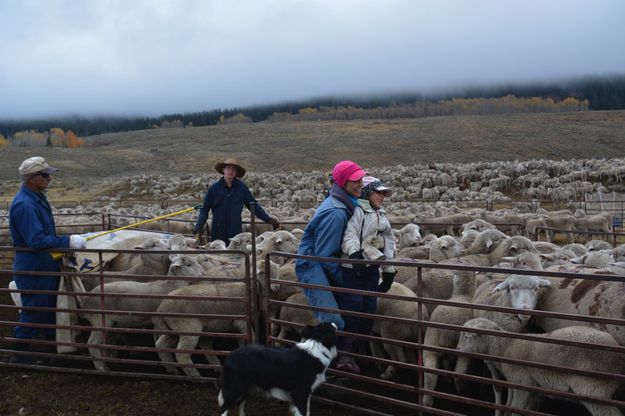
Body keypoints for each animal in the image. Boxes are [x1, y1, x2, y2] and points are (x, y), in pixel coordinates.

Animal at [456, 318, 620, 416]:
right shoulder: (524, 386)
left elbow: (515, 409)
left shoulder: (523, 383)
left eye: (466, 335)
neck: (506, 347)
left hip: (594, 390)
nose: (457, 349)